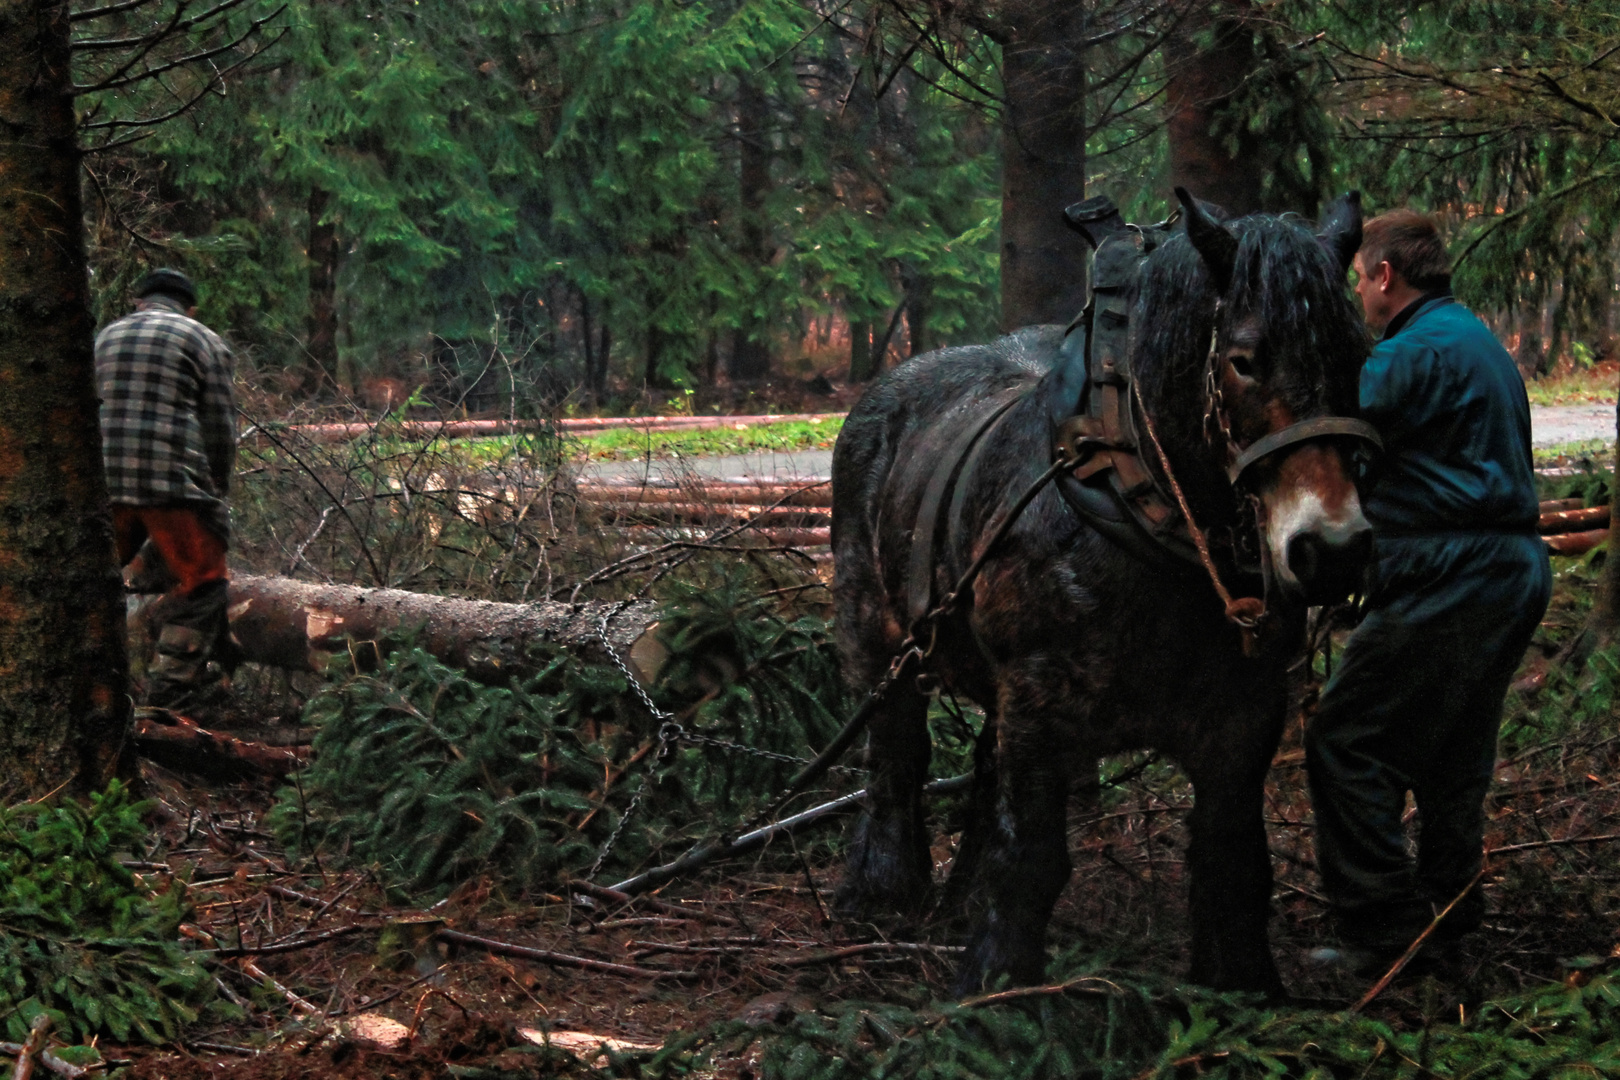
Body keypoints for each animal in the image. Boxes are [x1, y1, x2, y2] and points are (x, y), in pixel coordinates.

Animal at [835, 187, 1380, 997]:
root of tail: (887, 389)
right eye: (1244, 361)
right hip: (879, 639)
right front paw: (993, 987)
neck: (1141, 506)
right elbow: (1029, 857)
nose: (1334, 549)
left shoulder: (1245, 719)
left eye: (1358, 354)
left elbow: (1233, 857)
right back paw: (881, 888)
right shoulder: (1038, 703)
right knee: (895, 752)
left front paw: (1244, 986)